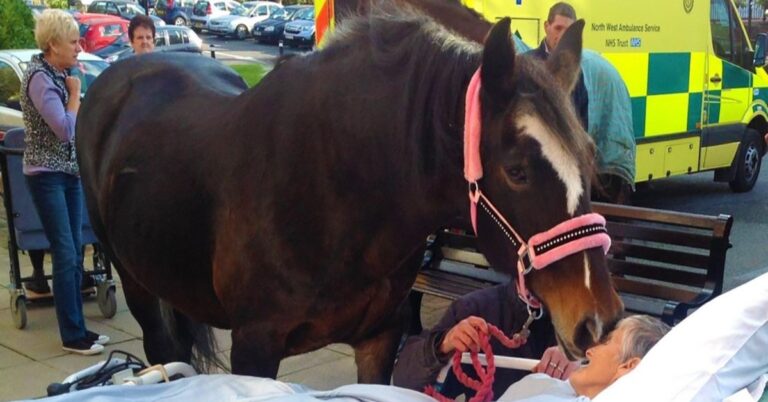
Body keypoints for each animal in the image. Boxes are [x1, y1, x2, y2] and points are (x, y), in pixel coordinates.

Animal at [75, 7, 620, 382]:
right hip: (136, 281)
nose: (600, 323)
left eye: (589, 156)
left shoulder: (380, 338)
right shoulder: (254, 347)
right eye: (517, 170)